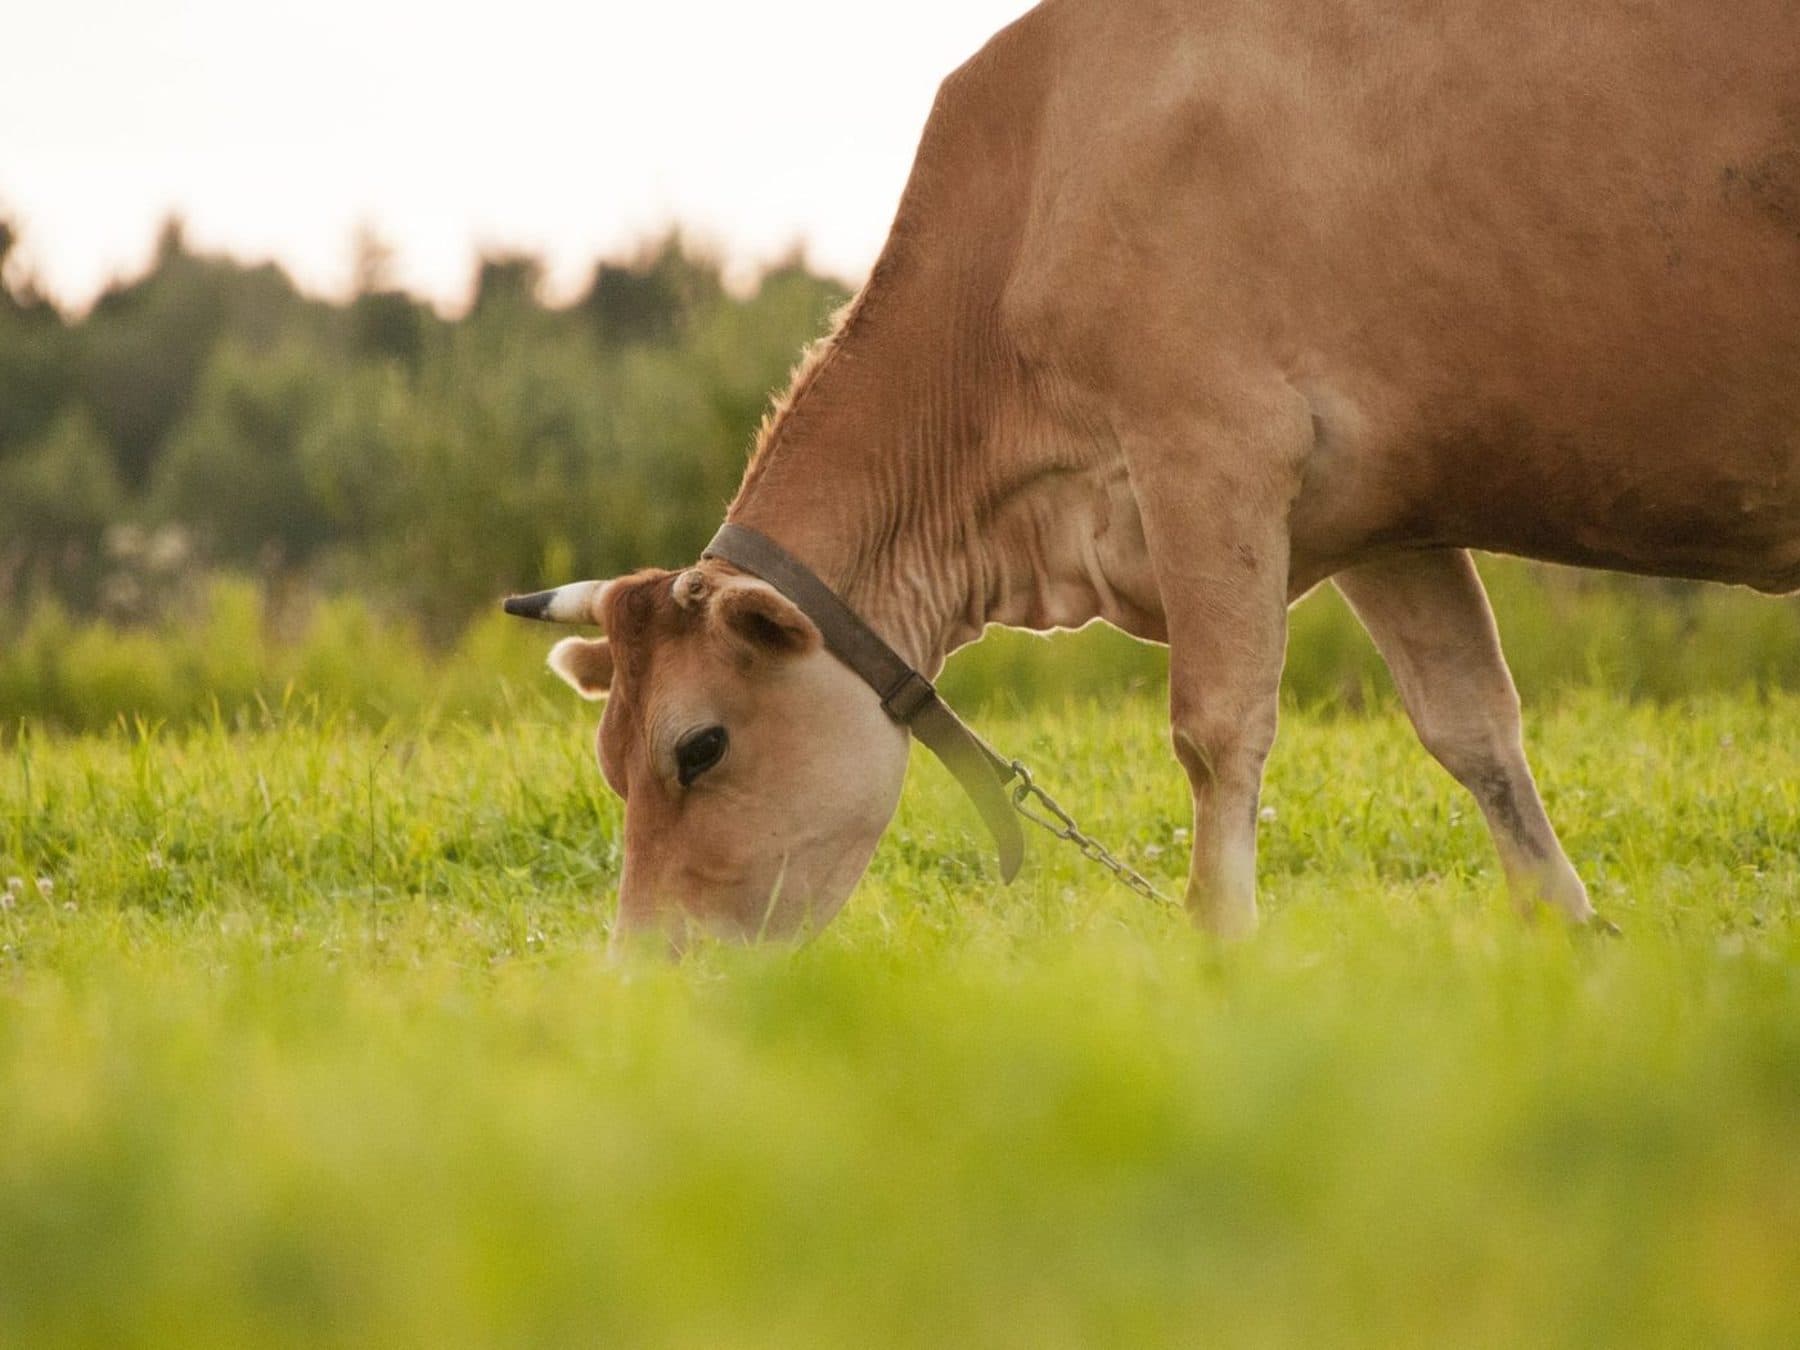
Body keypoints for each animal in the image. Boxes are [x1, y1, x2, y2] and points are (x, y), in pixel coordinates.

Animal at [508, 0, 1799, 949]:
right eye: (611, 762)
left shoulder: (1210, 451)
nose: (642, 982)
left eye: (700, 748)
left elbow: (1217, 731)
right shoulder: (1386, 522)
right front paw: (1570, 945)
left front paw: (1222, 954)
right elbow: (1475, 728)